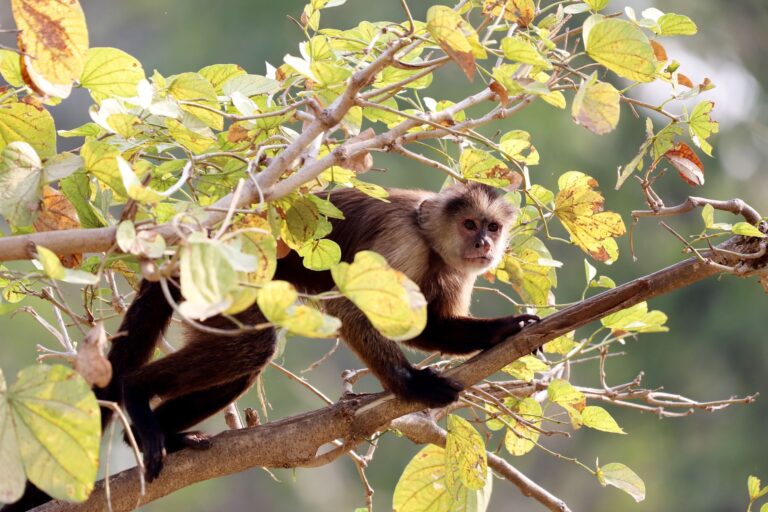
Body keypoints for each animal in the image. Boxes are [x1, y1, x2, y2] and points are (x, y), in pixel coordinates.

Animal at [2, 182, 538, 510]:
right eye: (470, 225)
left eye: (492, 227)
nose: (485, 245)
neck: (432, 242)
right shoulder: (402, 242)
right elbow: (352, 312)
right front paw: (412, 387)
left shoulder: (456, 270)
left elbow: (430, 326)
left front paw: (506, 331)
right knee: (252, 346)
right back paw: (136, 394)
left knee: (246, 358)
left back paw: (168, 433)